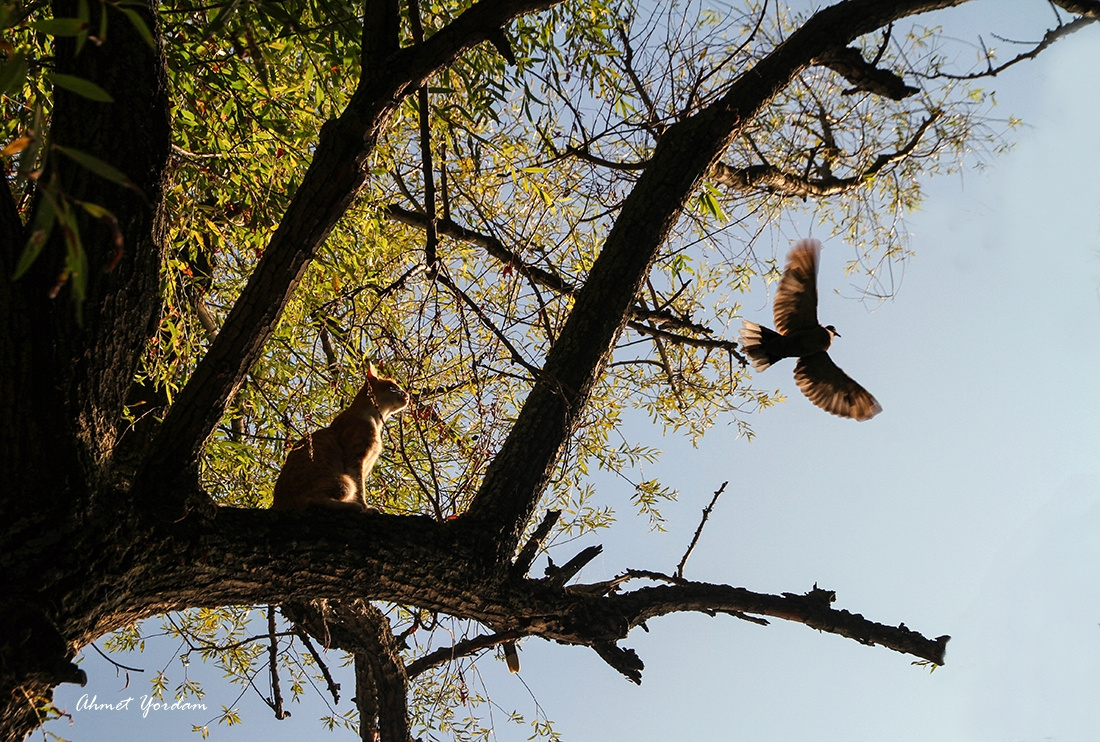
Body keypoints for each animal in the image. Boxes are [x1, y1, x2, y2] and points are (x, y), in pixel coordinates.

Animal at [272, 364, 411, 510]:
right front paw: (365, 507)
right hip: (344, 481)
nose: (407, 394)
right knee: (311, 500)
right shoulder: (356, 460)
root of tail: (277, 503)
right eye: (393, 386)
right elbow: (360, 488)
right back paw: (353, 506)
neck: (376, 419)